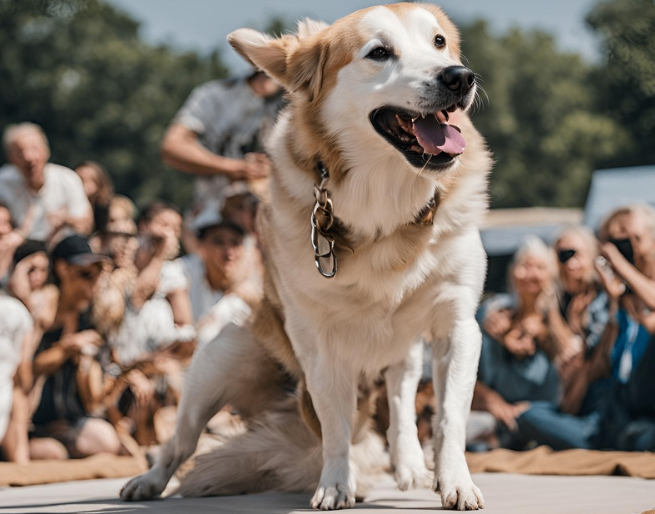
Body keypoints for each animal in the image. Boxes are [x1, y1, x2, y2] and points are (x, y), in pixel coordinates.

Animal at [123, 3, 492, 508]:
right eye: (379, 53)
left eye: (439, 42)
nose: (459, 77)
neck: (386, 208)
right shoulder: (319, 342)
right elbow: (335, 427)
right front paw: (336, 484)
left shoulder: (456, 324)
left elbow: (449, 416)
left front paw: (454, 481)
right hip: (215, 361)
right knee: (180, 439)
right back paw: (149, 480)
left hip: (402, 348)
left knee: (399, 395)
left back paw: (409, 464)